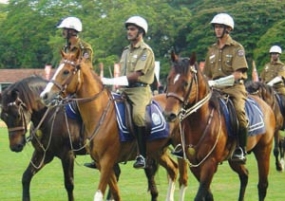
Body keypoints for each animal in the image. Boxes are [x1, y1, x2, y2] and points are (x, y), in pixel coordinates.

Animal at [38, 50, 187, 201]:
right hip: (158, 150)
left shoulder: (107, 161)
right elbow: (116, 193)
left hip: (179, 149)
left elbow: (99, 195)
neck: (100, 113)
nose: (44, 95)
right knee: (173, 170)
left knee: (183, 178)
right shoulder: (100, 163)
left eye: (66, 72)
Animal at [162, 52, 276, 201]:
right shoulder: (195, 165)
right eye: (169, 79)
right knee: (244, 175)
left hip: (264, 151)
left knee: (262, 185)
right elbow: (208, 195)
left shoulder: (210, 164)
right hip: (234, 160)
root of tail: (264, 103)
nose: (168, 114)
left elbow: (200, 195)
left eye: (185, 83)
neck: (199, 123)